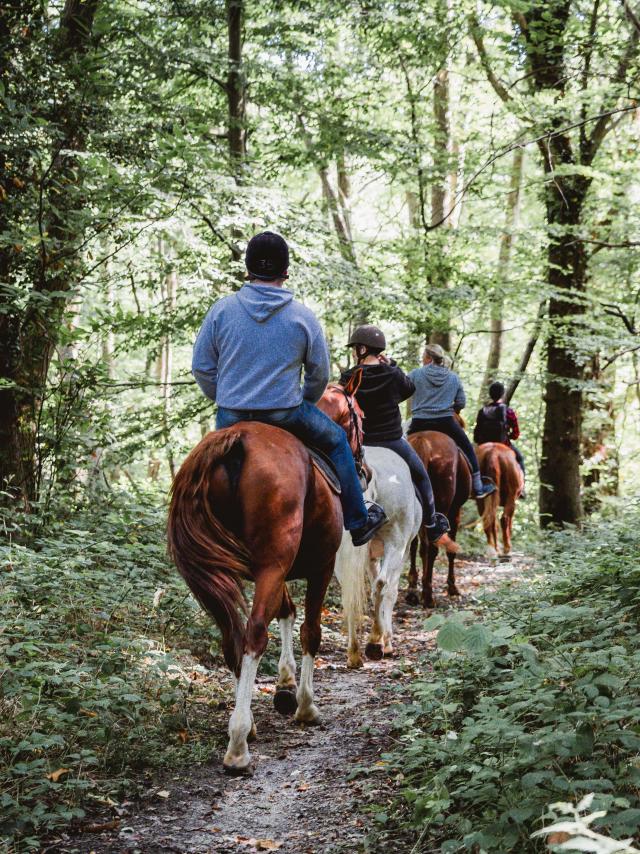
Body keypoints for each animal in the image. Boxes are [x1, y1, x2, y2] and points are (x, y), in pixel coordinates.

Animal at [168, 388, 362, 776]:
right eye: (361, 417)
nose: (365, 467)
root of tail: (237, 442)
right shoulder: (319, 565)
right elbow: (310, 631)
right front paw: (305, 705)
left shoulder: (275, 570)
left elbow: (286, 610)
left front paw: (285, 683)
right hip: (274, 562)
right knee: (255, 633)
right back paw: (239, 744)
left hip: (227, 571)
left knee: (232, 636)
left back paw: (248, 725)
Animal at [332, 448, 422, 668]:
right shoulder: (403, 551)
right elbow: (390, 593)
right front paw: (386, 641)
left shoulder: (370, 558)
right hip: (396, 544)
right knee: (382, 584)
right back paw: (374, 643)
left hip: (342, 554)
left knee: (350, 595)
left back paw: (354, 653)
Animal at [408, 434, 472, 608]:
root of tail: (423, 442)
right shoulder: (455, 512)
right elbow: (451, 551)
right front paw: (452, 587)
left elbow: (419, 548)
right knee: (433, 548)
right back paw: (428, 596)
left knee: (416, 546)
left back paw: (415, 592)